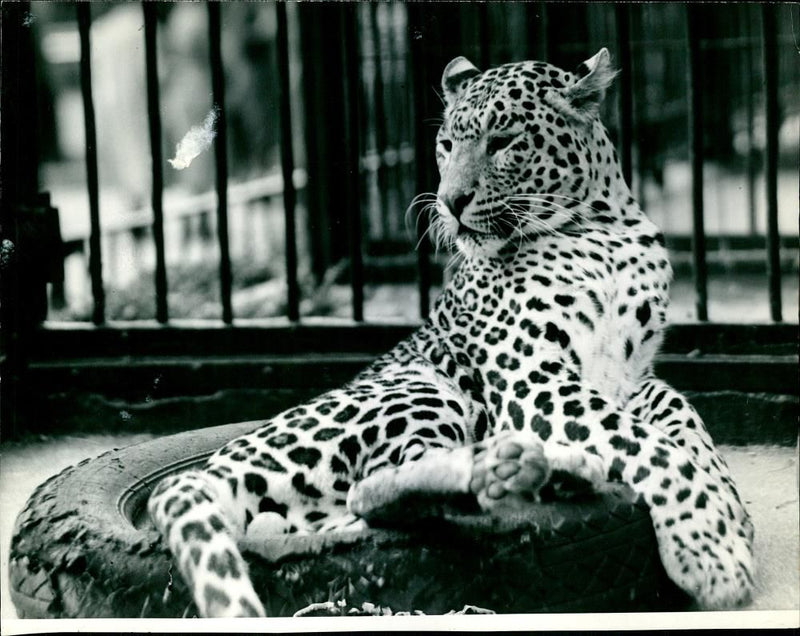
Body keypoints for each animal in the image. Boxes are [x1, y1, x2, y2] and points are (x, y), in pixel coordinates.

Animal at [147, 48, 752, 616]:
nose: (449, 202)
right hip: (421, 387)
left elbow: (684, 421)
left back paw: (544, 470)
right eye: (445, 145)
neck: (602, 227)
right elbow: (649, 444)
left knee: (358, 513)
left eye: (504, 141)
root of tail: (212, 465)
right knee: (376, 489)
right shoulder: (533, 379)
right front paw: (714, 550)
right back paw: (516, 465)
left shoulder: (631, 376)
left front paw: (731, 509)